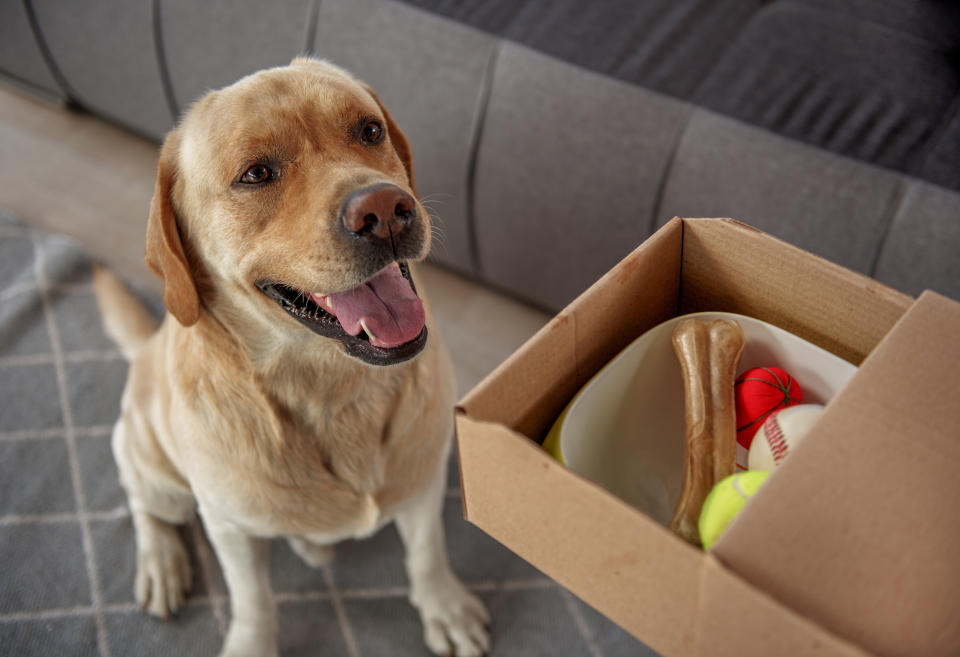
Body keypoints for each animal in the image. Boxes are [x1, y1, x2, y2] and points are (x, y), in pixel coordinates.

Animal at [95, 57, 488, 656]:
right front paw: (251, 645)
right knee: (145, 506)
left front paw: (444, 606)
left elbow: (427, 552)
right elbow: (254, 600)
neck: (330, 385)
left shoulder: (422, 481)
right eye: (256, 174)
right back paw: (161, 561)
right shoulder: (229, 528)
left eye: (369, 131)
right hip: (157, 471)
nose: (385, 210)